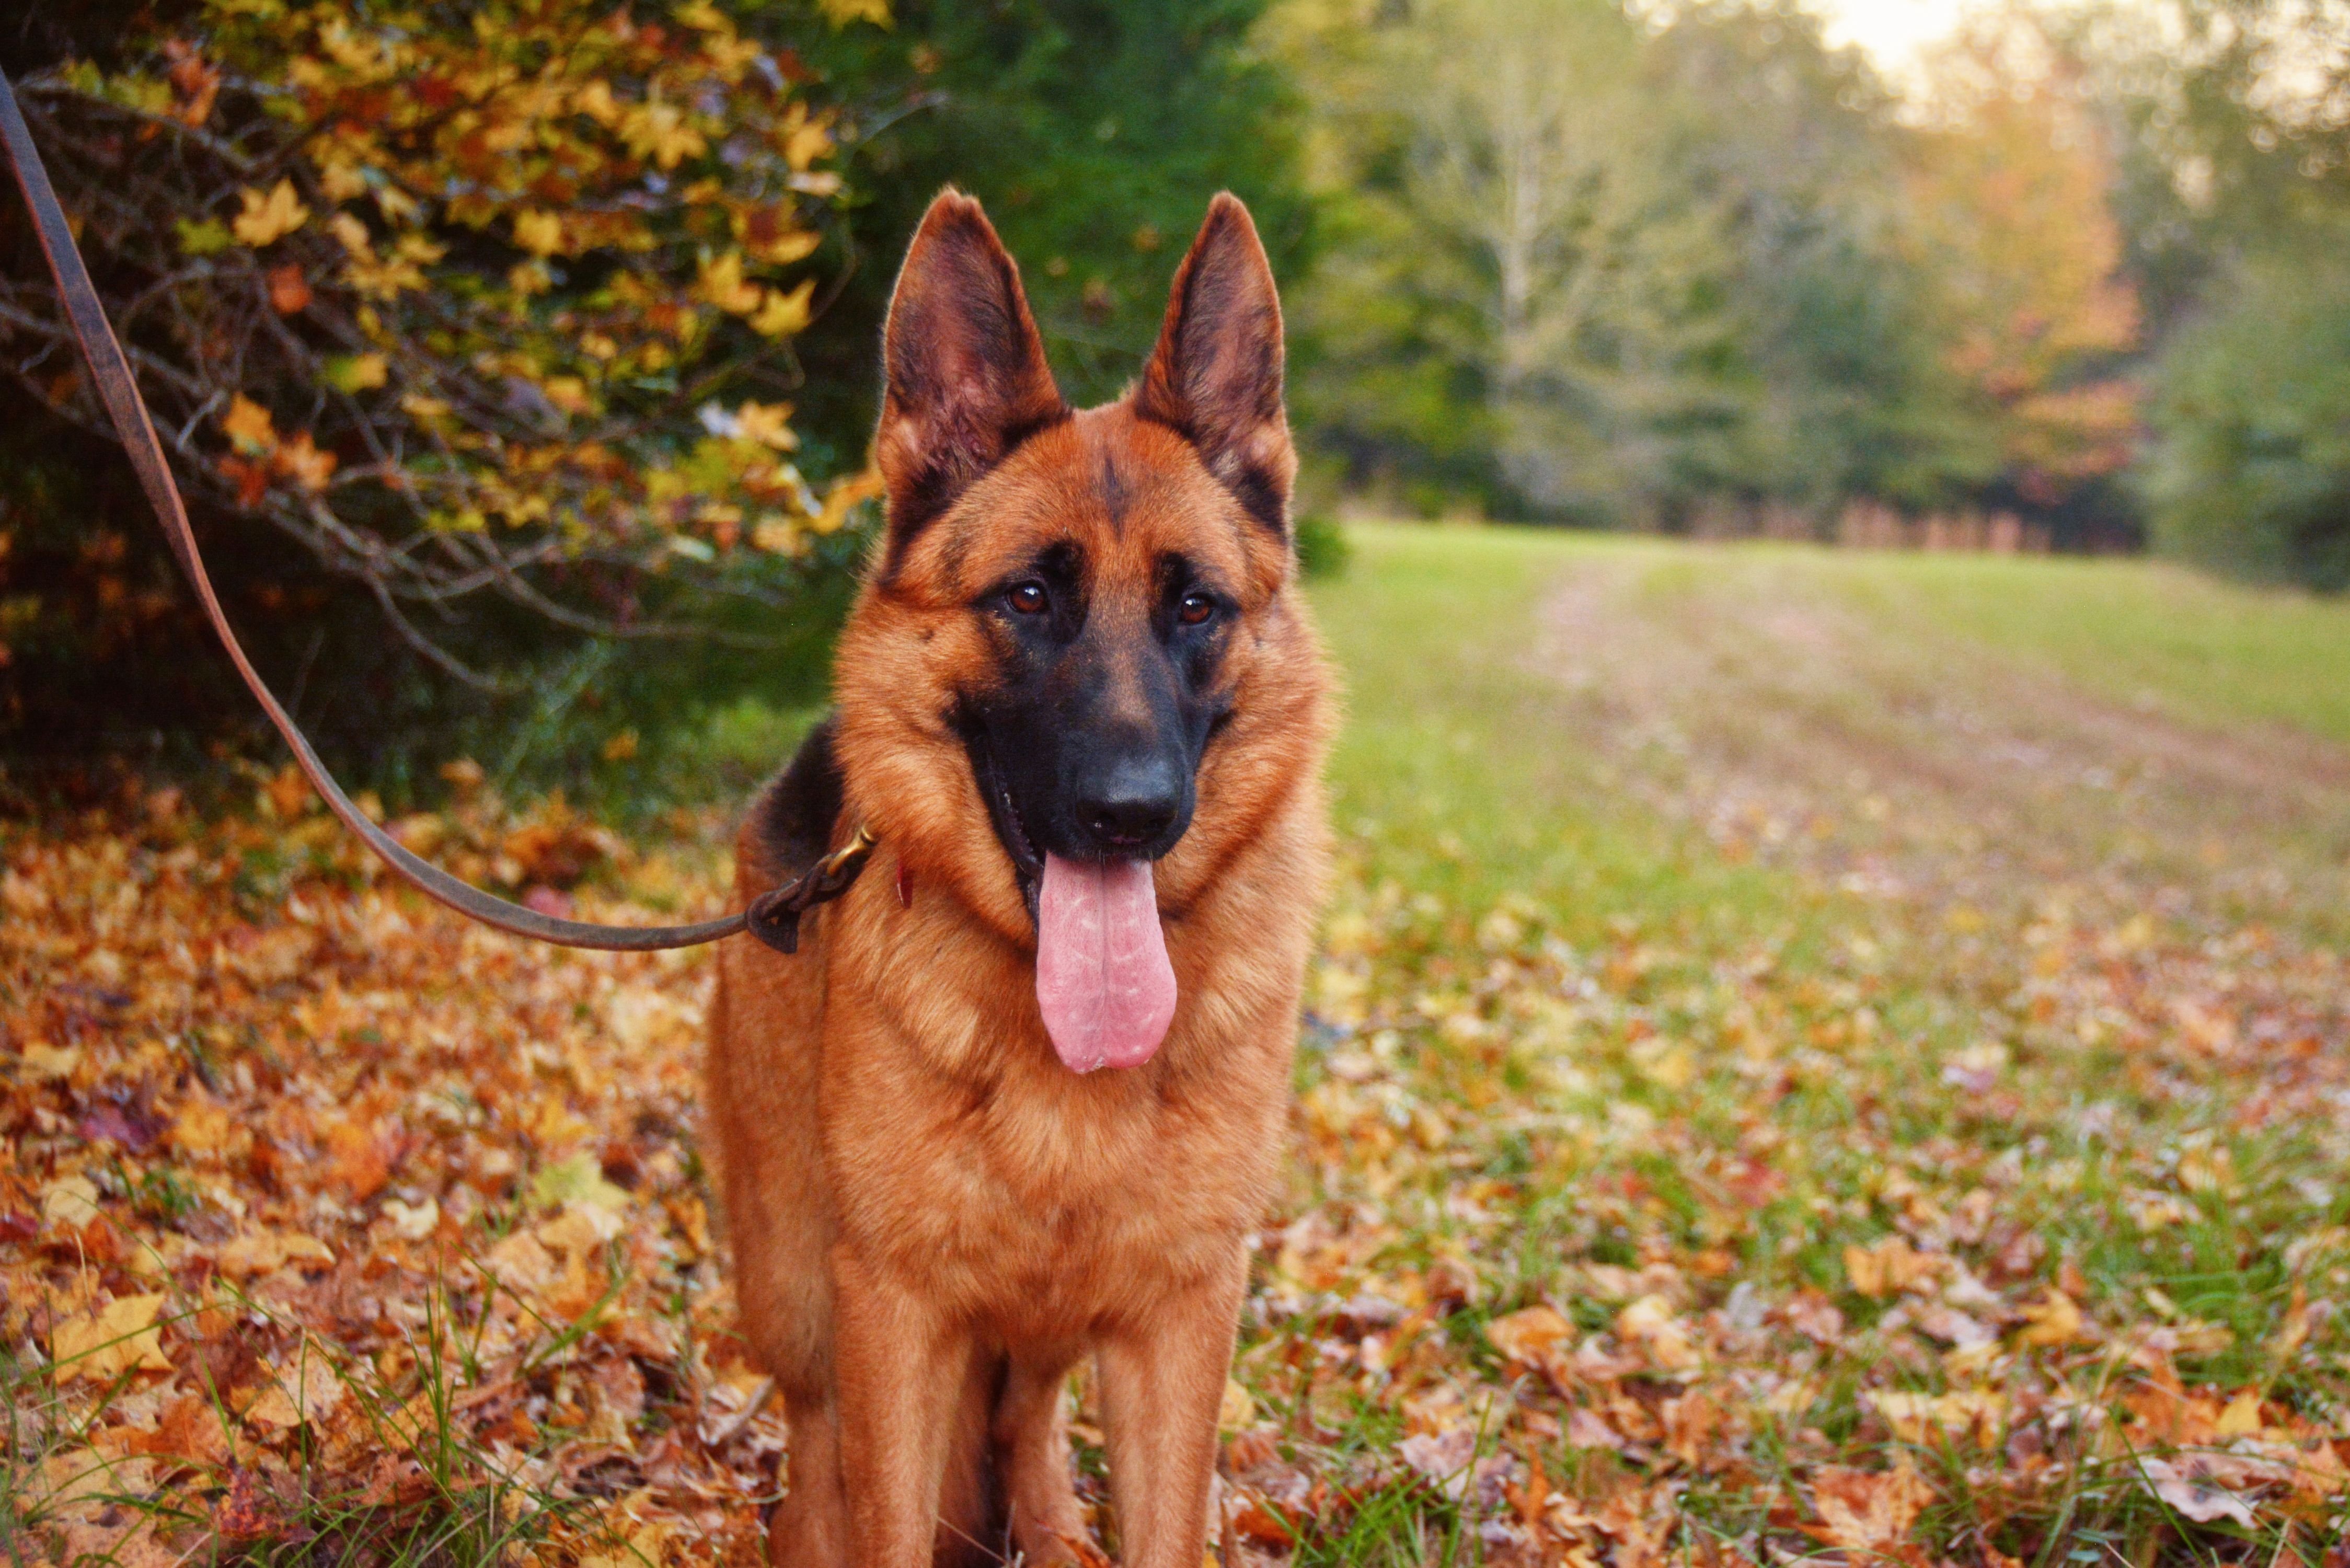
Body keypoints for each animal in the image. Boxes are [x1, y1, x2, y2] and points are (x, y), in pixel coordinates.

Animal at [705, 187, 1334, 1568]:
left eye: (1197, 608)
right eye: (1032, 596)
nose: (1131, 814)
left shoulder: (1176, 1321)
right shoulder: (891, 1314)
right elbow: (878, 1517)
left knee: (1026, 1428)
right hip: (803, 1307)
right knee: (816, 1467)